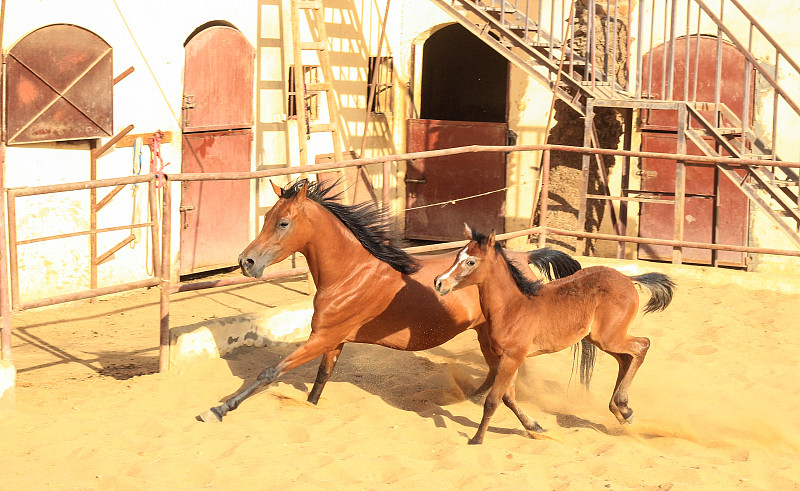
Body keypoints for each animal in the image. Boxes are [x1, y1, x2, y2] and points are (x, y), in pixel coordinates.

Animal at [195, 180, 580, 422]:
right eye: (266, 218)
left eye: (284, 223)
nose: (246, 261)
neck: (350, 273)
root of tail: (523, 255)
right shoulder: (333, 340)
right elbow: (321, 379)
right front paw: (311, 404)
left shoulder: (322, 336)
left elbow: (269, 372)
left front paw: (216, 411)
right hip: (486, 335)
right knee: (496, 373)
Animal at [432, 226, 676, 446]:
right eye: (457, 255)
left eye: (471, 262)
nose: (439, 282)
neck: (513, 307)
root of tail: (628, 278)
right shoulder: (508, 359)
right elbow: (508, 398)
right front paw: (535, 427)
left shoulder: (512, 358)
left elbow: (493, 400)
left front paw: (477, 439)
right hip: (599, 339)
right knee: (626, 358)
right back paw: (620, 410)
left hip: (609, 337)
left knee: (642, 346)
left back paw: (624, 407)